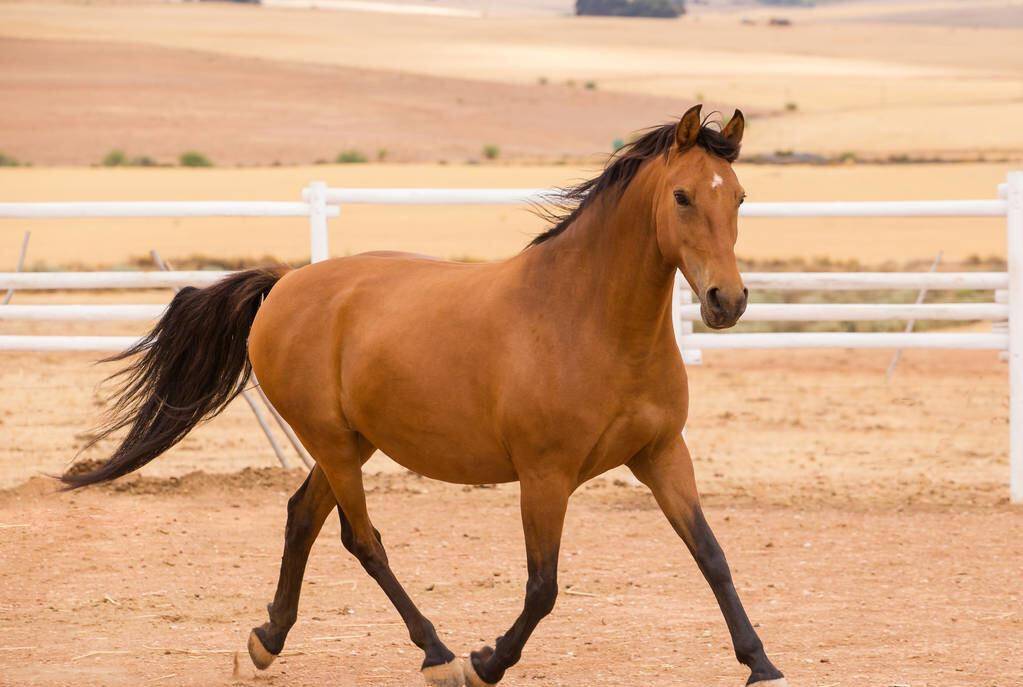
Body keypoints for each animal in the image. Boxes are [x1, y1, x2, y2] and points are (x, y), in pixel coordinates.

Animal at [68, 105, 785, 687]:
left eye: (740, 197)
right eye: (683, 196)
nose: (726, 301)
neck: (588, 320)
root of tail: (285, 284)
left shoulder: (662, 454)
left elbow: (712, 556)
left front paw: (761, 664)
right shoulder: (545, 475)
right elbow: (543, 586)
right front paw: (486, 661)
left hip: (350, 444)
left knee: (302, 515)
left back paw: (268, 639)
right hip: (335, 444)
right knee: (362, 539)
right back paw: (436, 653)